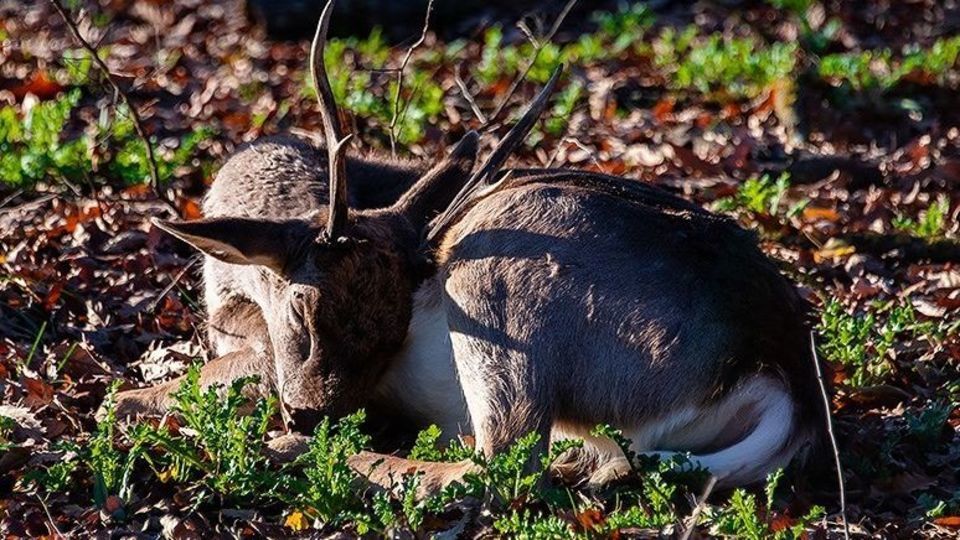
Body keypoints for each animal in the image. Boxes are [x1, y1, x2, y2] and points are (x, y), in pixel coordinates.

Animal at [110, 0, 824, 492]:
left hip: (498, 282)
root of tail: (781, 379)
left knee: (501, 463)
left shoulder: (260, 356)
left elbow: (133, 396)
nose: (311, 416)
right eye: (309, 316)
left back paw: (301, 454)